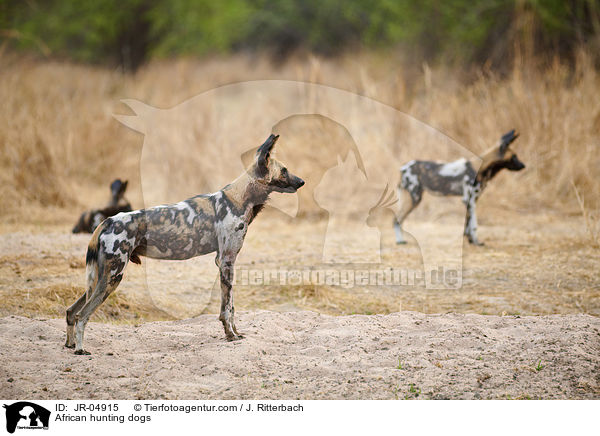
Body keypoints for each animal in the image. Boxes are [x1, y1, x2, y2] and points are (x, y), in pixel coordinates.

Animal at [65, 134, 304, 354]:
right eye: (284, 170)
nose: (302, 182)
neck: (240, 198)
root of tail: (106, 221)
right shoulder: (226, 261)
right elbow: (226, 309)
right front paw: (230, 336)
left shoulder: (226, 262)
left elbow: (232, 306)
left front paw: (236, 333)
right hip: (113, 277)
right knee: (82, 314)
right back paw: (80, 349)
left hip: (101, 277)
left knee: (71, 311)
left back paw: (69, 344)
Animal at [392, 129, 524, 245]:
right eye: (514, 156)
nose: (524, 166)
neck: (481, 169)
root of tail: (404, 167)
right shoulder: (469, 200)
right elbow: (474, 225)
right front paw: (476, 242)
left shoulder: (472, 200)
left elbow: (467, 225)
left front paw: (470, 241)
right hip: (414, 199)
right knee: (396, 220)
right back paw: (400, 241)